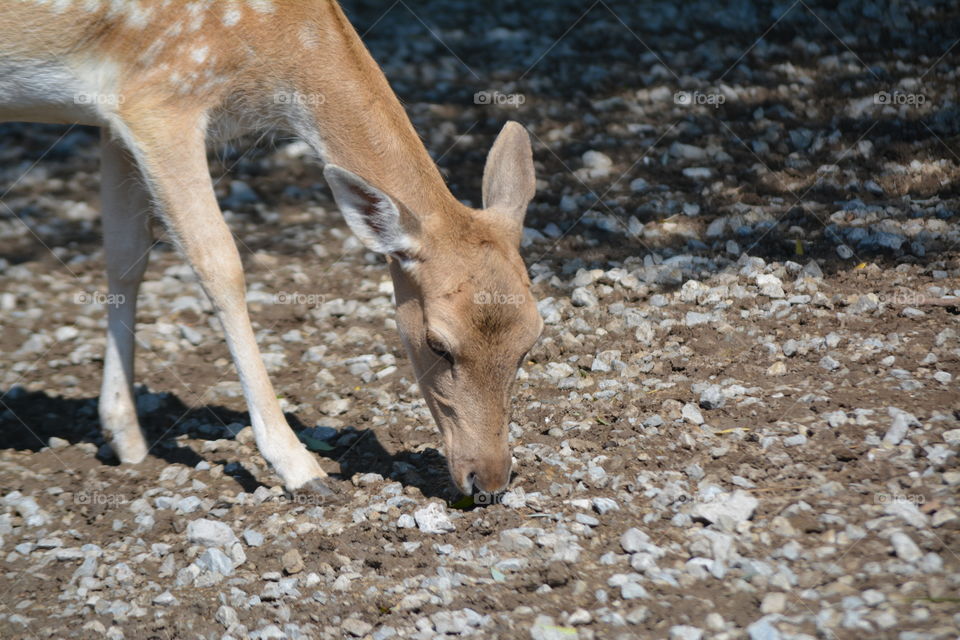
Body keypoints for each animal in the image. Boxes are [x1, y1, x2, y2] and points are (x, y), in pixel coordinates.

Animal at [0, 0, 543, 499]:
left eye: (531, 341)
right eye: (437, 344)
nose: (488, 481)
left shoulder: (113, 116)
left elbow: (126, 257)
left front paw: (126, 438)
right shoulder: (160, 98)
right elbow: (220, 264)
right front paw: (299, 467)